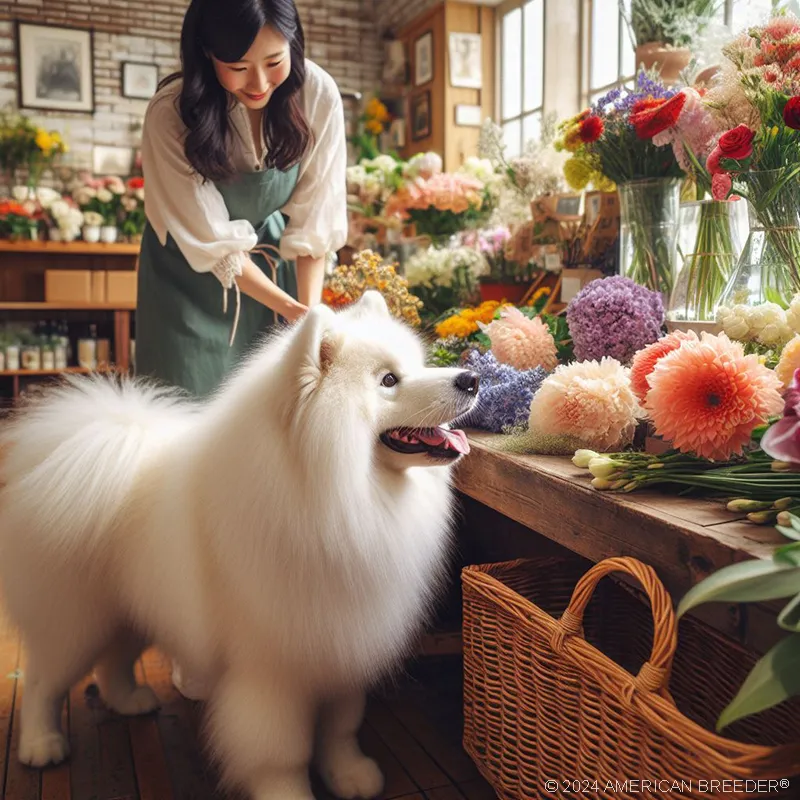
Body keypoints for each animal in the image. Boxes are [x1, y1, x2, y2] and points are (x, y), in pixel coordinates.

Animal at [0, 292, 478, 800]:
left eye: (418, 365)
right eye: (388, 380)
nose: (471, 378)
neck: (338, 494)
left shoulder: (341, 644)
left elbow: (340, 726)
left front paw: (350, 775)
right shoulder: (272, 669)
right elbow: (281, 751)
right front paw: (289, 794)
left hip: (127, 604)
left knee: (113, 660)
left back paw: (129, 700)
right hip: (75, 619)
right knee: (43, 681)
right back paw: (41, 744)